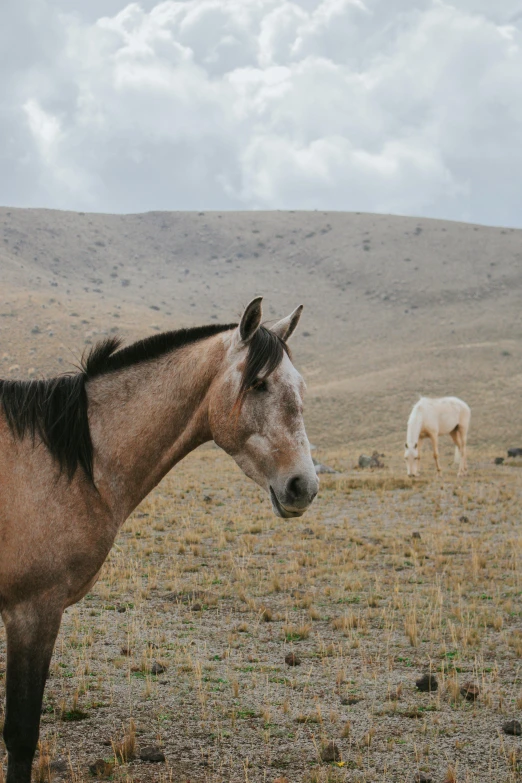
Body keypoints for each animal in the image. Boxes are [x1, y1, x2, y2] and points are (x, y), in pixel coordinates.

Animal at [0, 298, 316, 780]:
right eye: (259, 384)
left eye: (299, 385)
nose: (304, 486)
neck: (67, 465)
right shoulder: (31, 611)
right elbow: (20, 736)